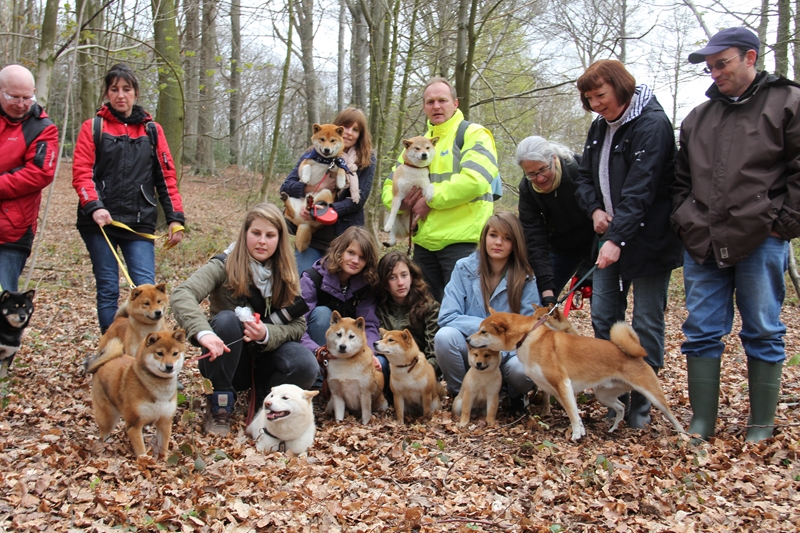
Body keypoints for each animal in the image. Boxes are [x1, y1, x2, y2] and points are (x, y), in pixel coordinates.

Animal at [86, 328, 187, 458]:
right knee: (103, 434)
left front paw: (163, 461)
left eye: (175, 353)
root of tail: (104, 362)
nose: (169, 366)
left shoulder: (164, 422)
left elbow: (163, 449)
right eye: (160, 353)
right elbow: (141, 451)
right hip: (108, 417)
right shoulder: (134, 425)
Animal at [466, 308, 684, 440]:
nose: (467, 339)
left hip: (651, 393)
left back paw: (683, 435)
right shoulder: (558, 390)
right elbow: (575, 413)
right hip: (603, 394)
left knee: (670, 414)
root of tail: (634, 353)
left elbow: (572, 413)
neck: (528, 336)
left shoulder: (562, 383)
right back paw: (613, 428)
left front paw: (576, 435)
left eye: (484, 332)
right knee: (621, 407)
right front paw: (581, 430)